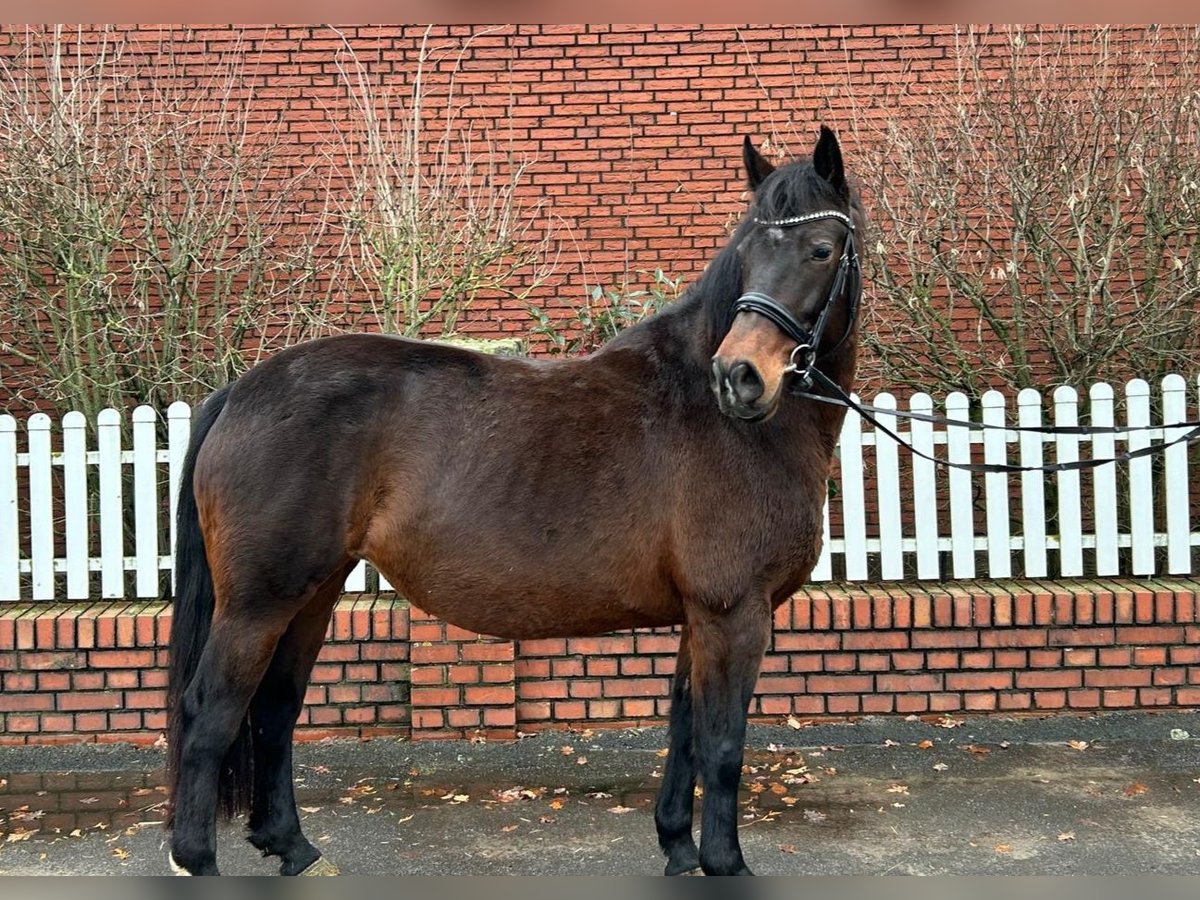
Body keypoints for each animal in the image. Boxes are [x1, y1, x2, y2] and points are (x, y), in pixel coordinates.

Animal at [166, 123, 864, 878]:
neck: (717, 418)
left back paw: (291, 845)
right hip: (257, 603)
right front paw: (724, 863)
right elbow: (723, 744)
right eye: (747, 251)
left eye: (820, 249)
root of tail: (241, 390)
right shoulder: (734, 614)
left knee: (276, 708)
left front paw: (678, 846)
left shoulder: (701, 617)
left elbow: (683, 730)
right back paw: (198, 859)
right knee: (210, 712)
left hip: (311, 594)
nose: (739, 377)